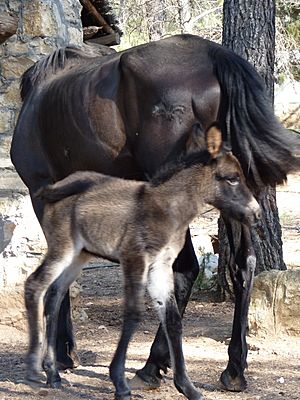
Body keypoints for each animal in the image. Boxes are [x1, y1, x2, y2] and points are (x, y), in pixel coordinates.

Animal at [10, 34, 298, 394]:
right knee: (243, 264)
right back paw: (234, 369)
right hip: (235, 199)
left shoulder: (42, 193)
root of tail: (214, 54)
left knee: (186, 269)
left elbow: (58, 280)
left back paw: (152, 365)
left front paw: (62, 354)